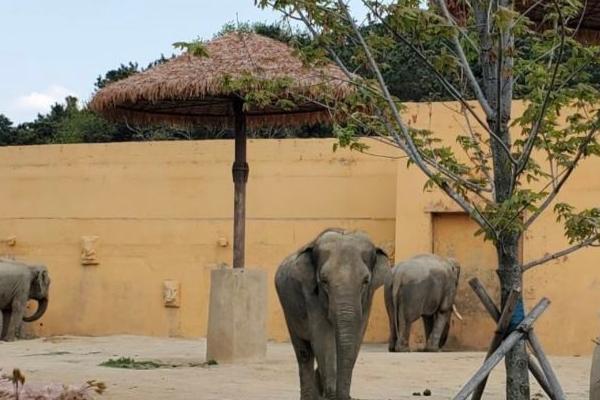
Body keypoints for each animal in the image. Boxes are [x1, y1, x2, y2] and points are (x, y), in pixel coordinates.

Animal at [276, 228, 392, 400]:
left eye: (366, 281)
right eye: (324, 281)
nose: (348, 397)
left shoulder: (367, 299)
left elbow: (356, 339)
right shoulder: (311, 297)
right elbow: (323, 340)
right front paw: (331, 394)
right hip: (288, 310)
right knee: (304, 353)